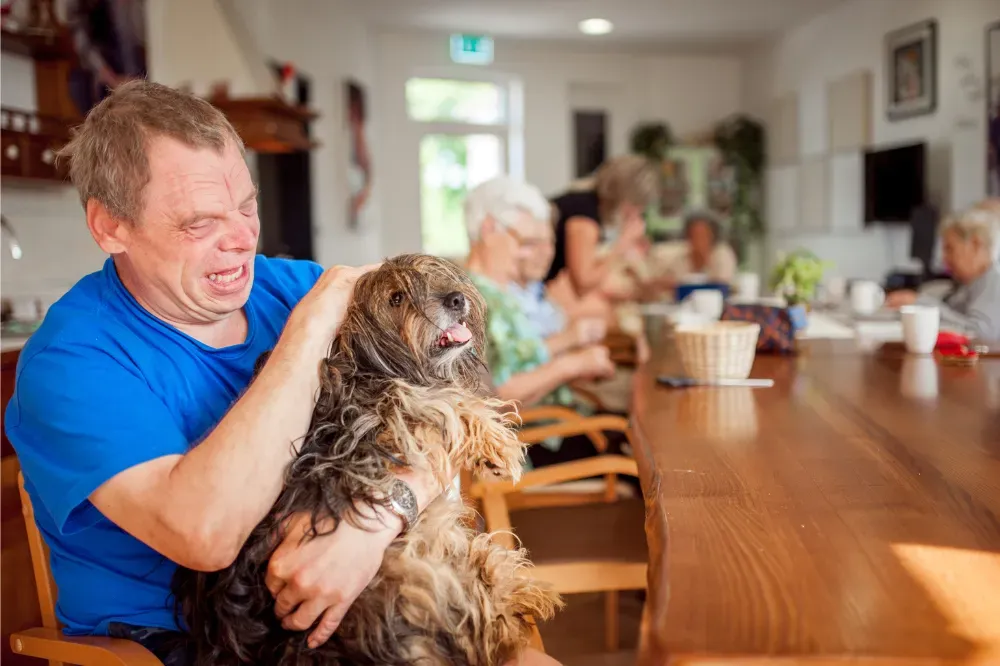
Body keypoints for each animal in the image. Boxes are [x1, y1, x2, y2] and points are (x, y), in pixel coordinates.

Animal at [173, 253, 564, 660]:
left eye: (434, 278)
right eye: (396, 298)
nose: (456, 299)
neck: (365, 363)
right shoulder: (377, 422)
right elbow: (440, 404)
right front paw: (496, 443)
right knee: (482, 621)